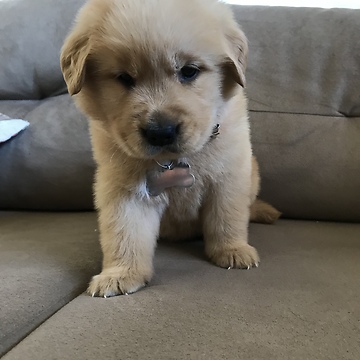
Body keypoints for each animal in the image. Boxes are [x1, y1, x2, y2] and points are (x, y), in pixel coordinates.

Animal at [60, 0, 280, 296]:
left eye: (189, 71)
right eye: (124, 78)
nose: (160, 132)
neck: (174, 160)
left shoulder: (229, 176)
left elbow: (227, 218)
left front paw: (233, 250)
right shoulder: (124, 191)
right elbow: (124, 233)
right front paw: (121, 273)